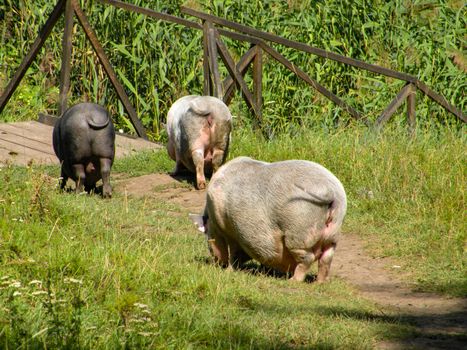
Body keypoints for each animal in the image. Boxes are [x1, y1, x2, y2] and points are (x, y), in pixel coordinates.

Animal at [190, 157, 348, 284]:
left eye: (207, 234)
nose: (216, 263)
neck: (213, 220)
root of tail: (331, 192)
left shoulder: (230, 231)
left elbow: (234, 253)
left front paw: (229, 270)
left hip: (299, 231)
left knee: (307, 258)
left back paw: (293, 281)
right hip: (333, 233)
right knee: (326, 258)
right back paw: (320, 282)